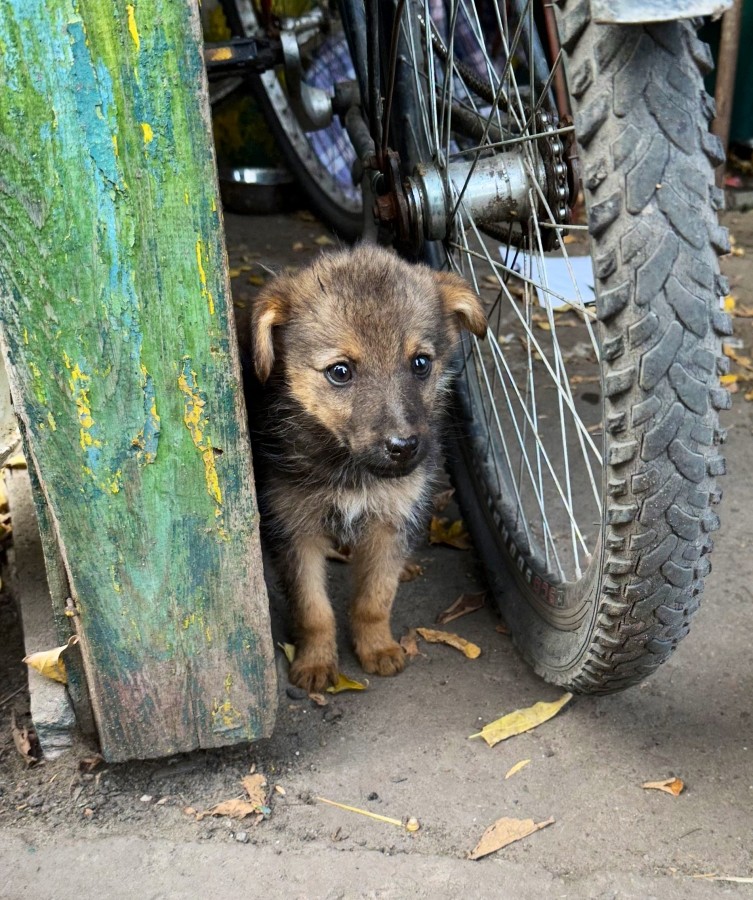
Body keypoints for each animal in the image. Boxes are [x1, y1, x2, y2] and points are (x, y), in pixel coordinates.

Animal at [251, 243, 488, 692]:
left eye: (420, 363)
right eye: (340, 372)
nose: (404, 447)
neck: (352, 470)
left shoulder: (392, 520)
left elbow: (375, 597)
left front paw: (378, 648)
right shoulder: (294, 531)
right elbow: (313, 610)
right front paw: (316, 663)